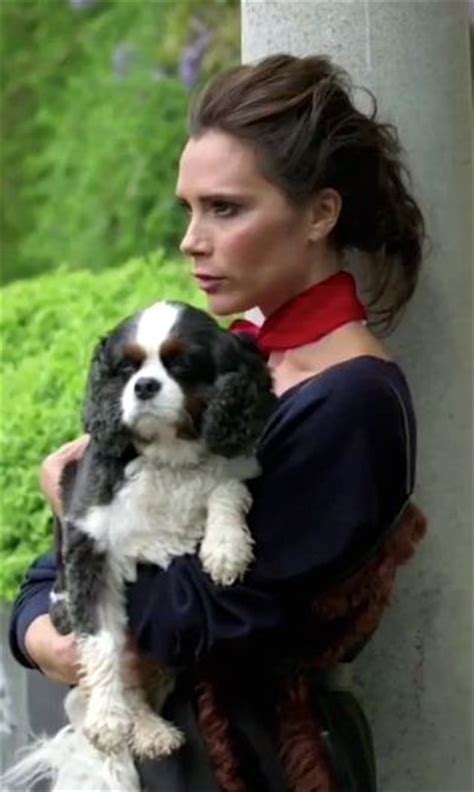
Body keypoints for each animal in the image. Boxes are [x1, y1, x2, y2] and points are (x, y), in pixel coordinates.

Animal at [3, 298, 276, 792]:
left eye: (180, 364)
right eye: (126, 368)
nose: (144, 386)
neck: (167, 458)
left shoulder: (238, 467)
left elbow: (225, 487)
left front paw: (225, 548)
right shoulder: (90, 549)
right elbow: (103, 645)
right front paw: (109, 719)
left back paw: (150, 730)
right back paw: (140, 727)